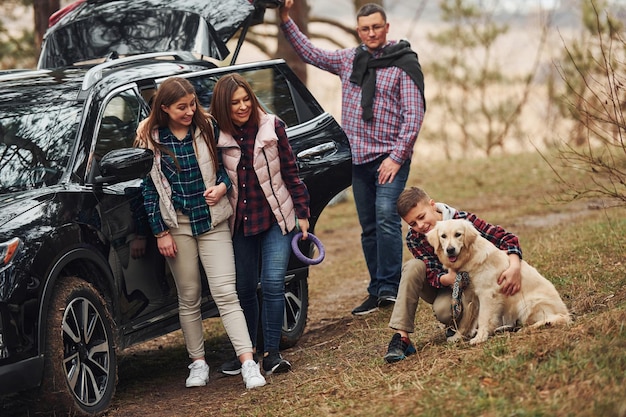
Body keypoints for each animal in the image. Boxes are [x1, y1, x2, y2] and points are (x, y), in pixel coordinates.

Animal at [424, 218, 572, 344]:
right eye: (443, 236)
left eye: (458, 234)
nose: (450, 250)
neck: (469, 257)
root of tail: (565, 313)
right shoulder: (468, 296)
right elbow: (465, 321)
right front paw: (458, 336)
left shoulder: (487, 294)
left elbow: (483, 318)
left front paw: (480, 338)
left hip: (526, 304)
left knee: (547, 320)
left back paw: (529, 328)